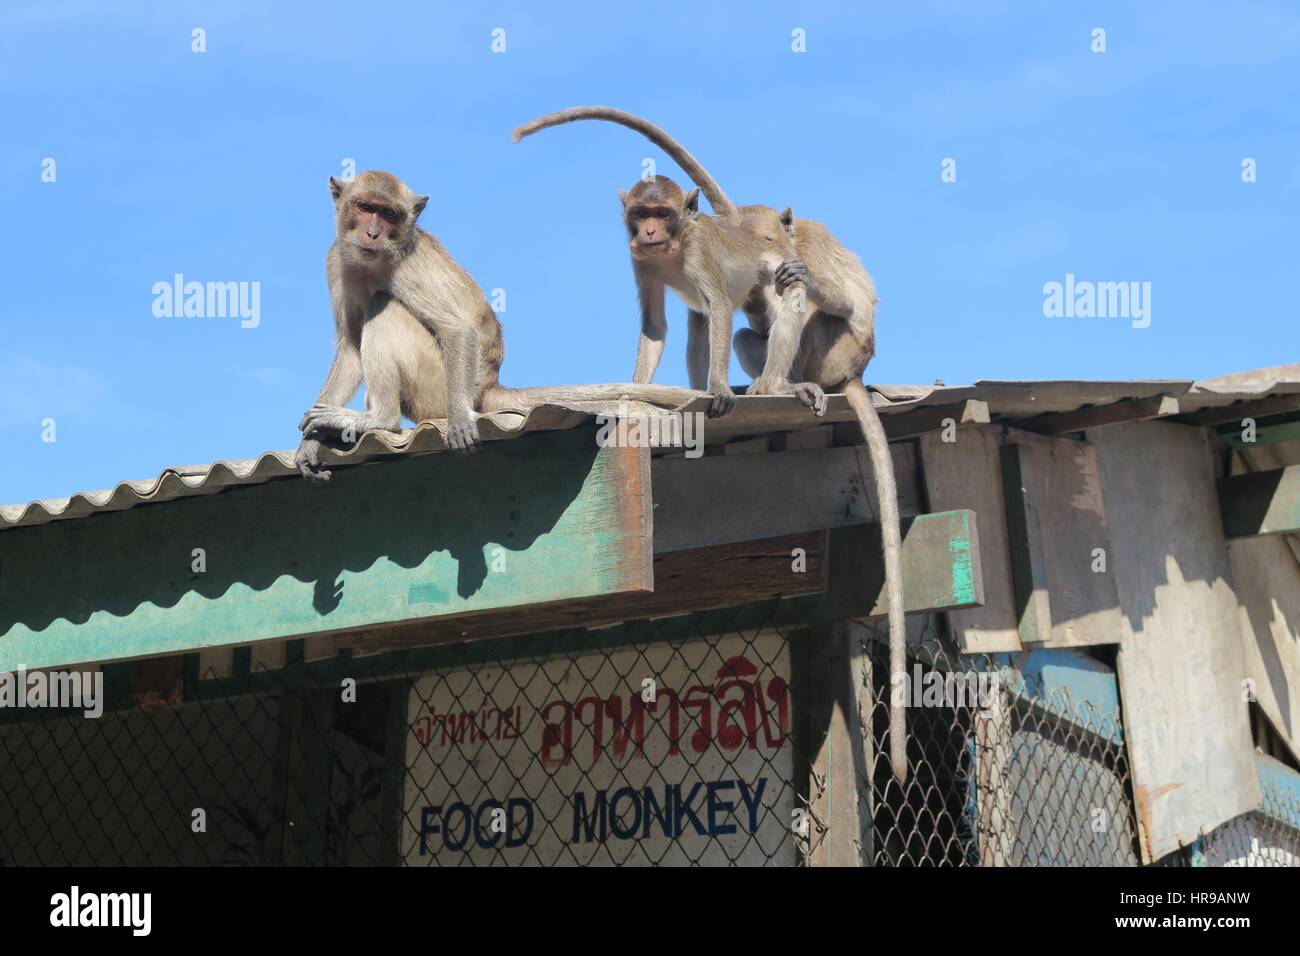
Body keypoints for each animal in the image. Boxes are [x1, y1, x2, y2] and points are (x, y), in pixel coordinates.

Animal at [293, 170, 707, 478]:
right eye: (365, 207)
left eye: (389, 214)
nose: (373, 232)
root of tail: (488, 385)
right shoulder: (337, 262)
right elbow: (350, 347)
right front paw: (310, 444)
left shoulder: (404, 265)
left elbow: (457, 329)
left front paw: (460, 421)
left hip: (436, 390)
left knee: (385, 307)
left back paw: (383, 419)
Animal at [512, 110, 909, 785]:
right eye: (640, 216)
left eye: (662, 215)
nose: (649, 230)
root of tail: (853, 373)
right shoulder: (646, 264)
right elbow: (663, 324)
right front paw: (643, 384)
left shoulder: (731, 254)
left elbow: (735, 302)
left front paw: (723, 386)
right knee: (724, 323)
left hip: (825, 340)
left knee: (781, 304)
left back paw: (773, 384)